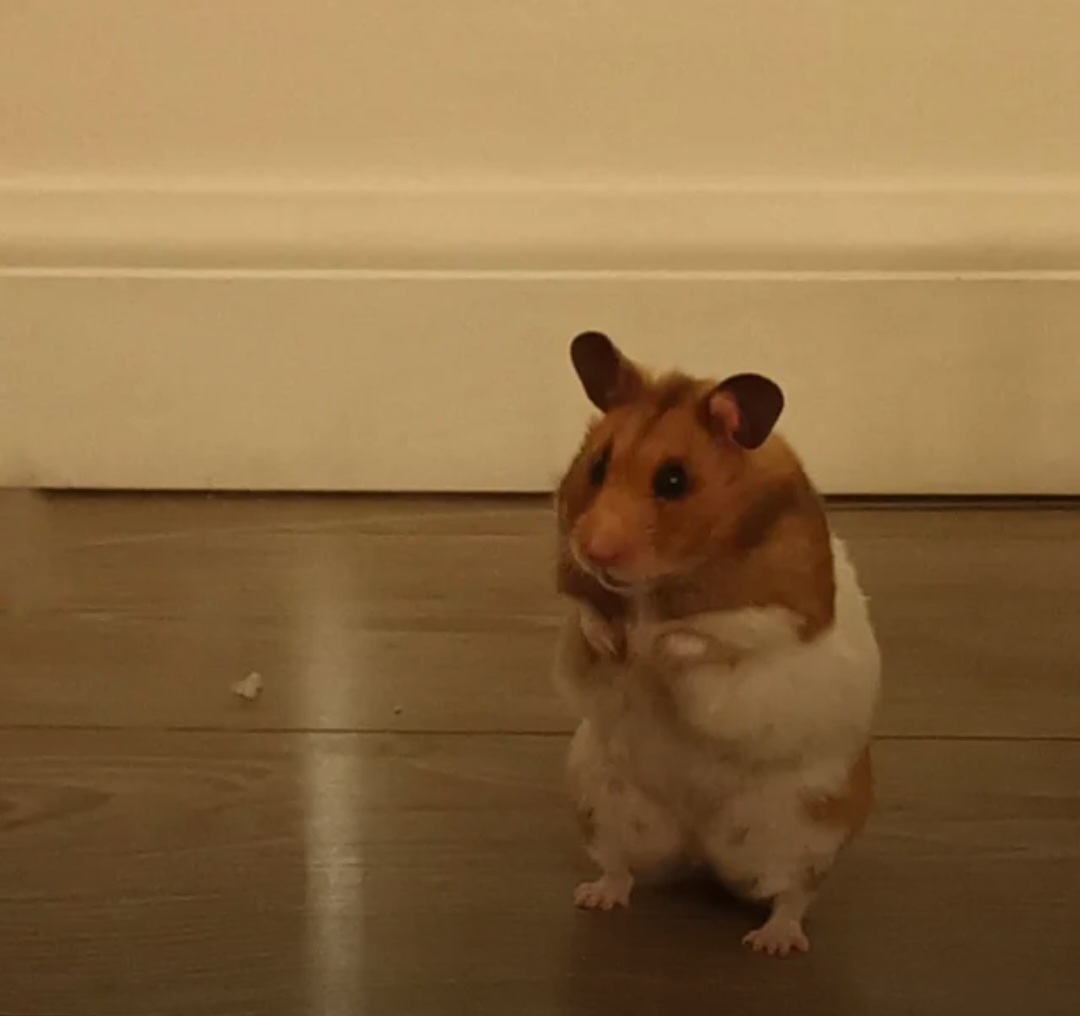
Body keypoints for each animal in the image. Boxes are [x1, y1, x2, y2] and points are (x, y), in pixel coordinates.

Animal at [552, 331, 881, 957]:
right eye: (599, 465)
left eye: (673, 481)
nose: (597, 551)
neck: (653, 587)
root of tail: (698, 845)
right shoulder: (577, 597)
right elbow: (584, 618)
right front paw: (616, 644)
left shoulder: (780, 613)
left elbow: (713, 635)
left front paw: (652, 650)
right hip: (599, 795)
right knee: (620, 865)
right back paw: (594, 896)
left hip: (809, 825)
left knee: (792, 894)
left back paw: (771, 942)